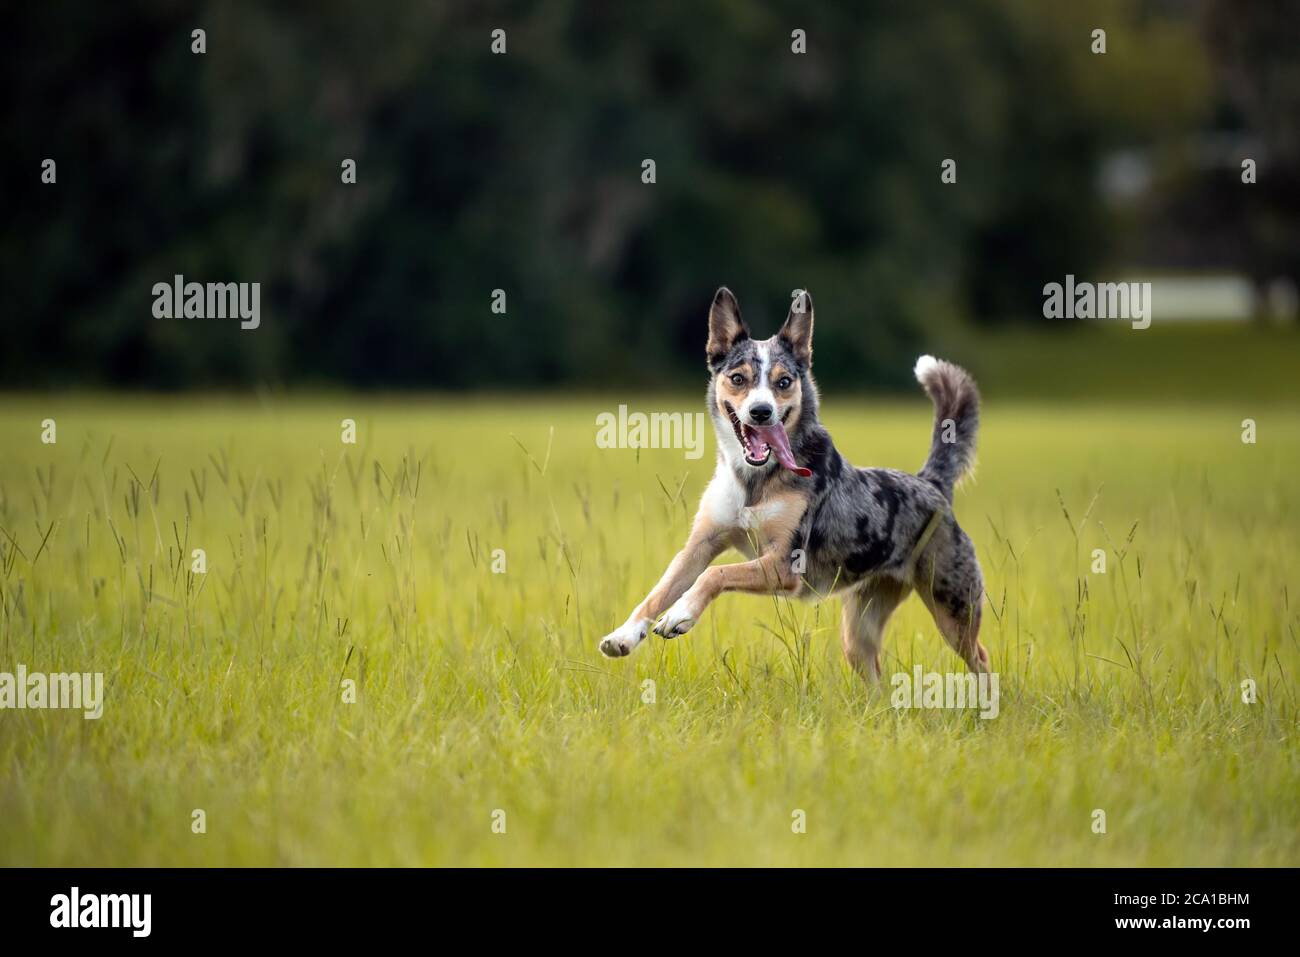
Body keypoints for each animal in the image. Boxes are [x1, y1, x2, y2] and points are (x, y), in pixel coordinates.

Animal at [600, 286, 993, 681]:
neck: (755, 481)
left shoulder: (784, 565)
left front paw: (680, 615)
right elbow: (660, 590)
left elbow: (715, 574)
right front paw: (625, 635)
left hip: (953, 609)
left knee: (982, 660)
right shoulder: (701, 544)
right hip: (859, 632)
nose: (761, 412)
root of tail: (931, 484)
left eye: (784, 382)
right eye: (738, 379)